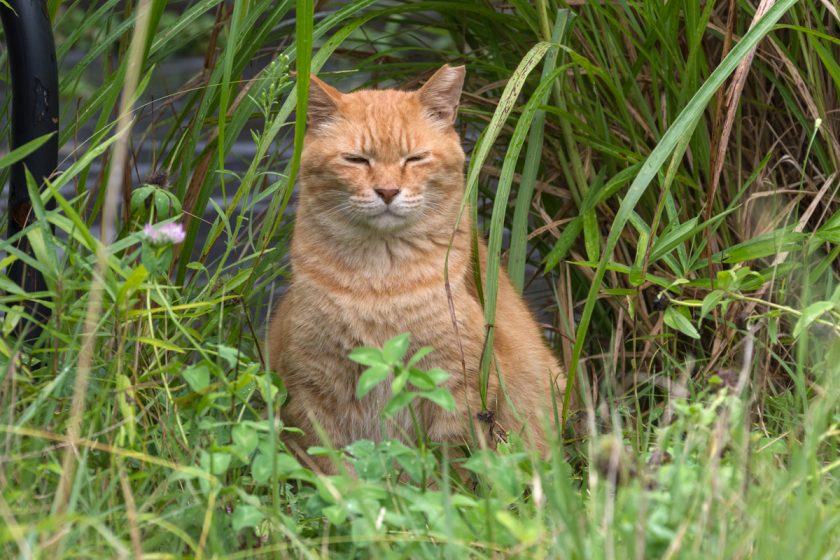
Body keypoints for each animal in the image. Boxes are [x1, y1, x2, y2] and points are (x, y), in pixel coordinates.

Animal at [270, 64, 564, 468]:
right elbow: (335, 470)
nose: (388, 191)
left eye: (414, 158)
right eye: (356, 160)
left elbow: (450, 469)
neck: (380, 282)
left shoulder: (454, 388)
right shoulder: (311, 392)